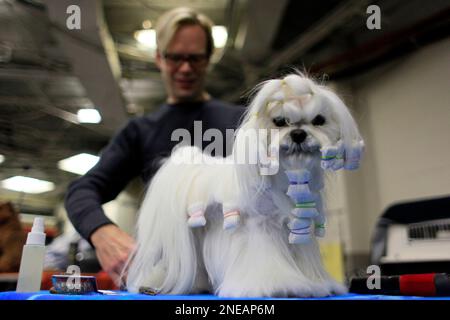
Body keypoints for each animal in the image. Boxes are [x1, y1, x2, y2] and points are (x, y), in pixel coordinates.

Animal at [125, 72, 364, 298]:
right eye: (279, 121)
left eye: (319, 120)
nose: (298, 134)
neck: (282, 176)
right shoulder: (259, 226)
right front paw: (280, 286)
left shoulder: (296, 227)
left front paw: (317, 284)